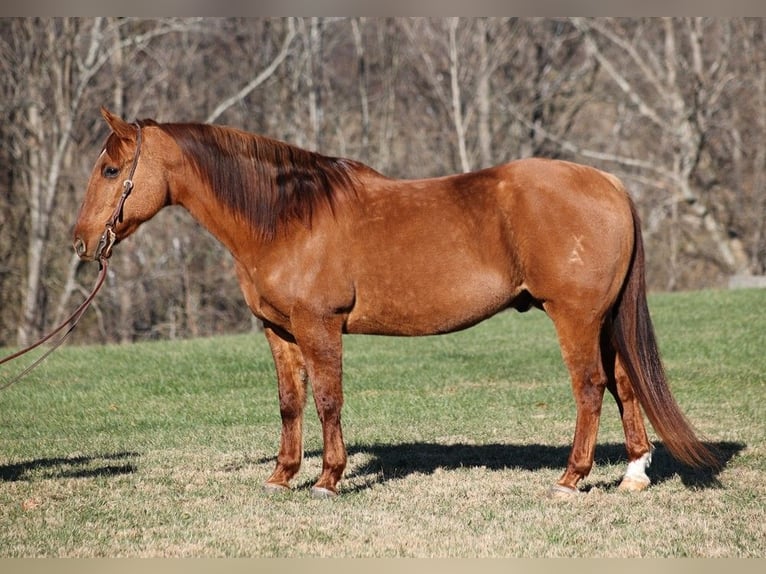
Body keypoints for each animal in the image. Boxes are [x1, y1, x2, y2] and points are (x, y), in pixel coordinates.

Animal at [72, 108, 720, 500]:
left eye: (111, 169)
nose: (80, 242)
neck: (286, 218)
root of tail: (608, 183)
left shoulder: (319, 327)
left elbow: (328, 400)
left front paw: (328, 480)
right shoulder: (279, 333)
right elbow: (290, 404)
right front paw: (282, 476)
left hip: (576, 317)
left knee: (590, 387)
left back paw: (569, 478)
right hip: (605, 319)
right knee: (625, 384)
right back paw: (633, 474)